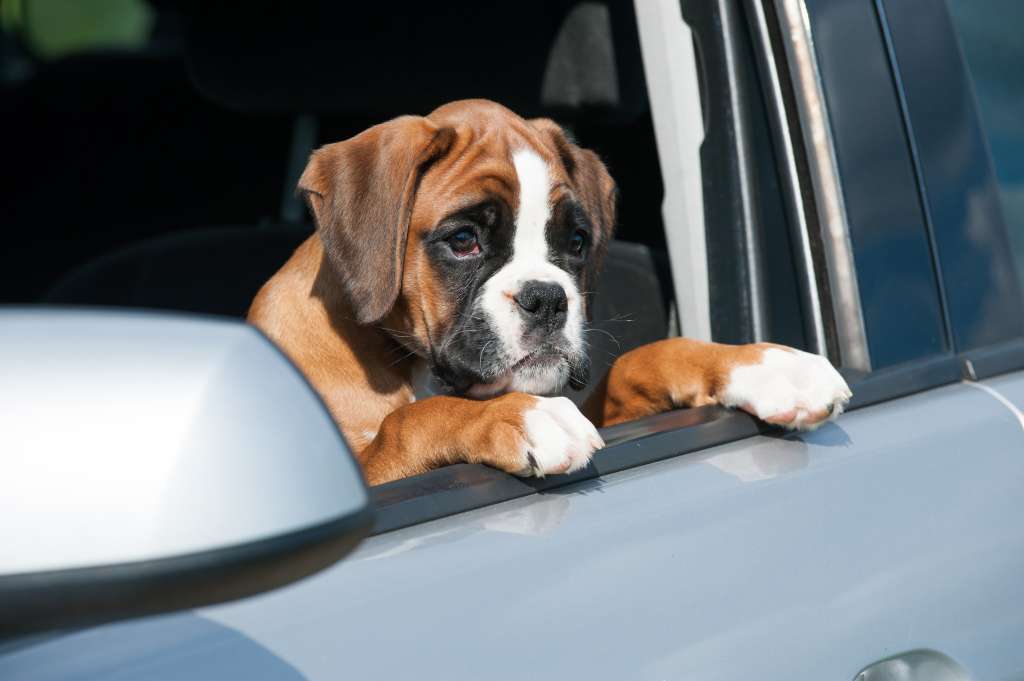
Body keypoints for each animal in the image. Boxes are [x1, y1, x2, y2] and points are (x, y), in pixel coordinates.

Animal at [247, 99, 847, 483]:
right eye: (463, 240)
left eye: (577, 241)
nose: (548, 298)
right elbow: (410, 421)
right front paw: (518, 415)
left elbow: (642, 359)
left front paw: (763, 364)